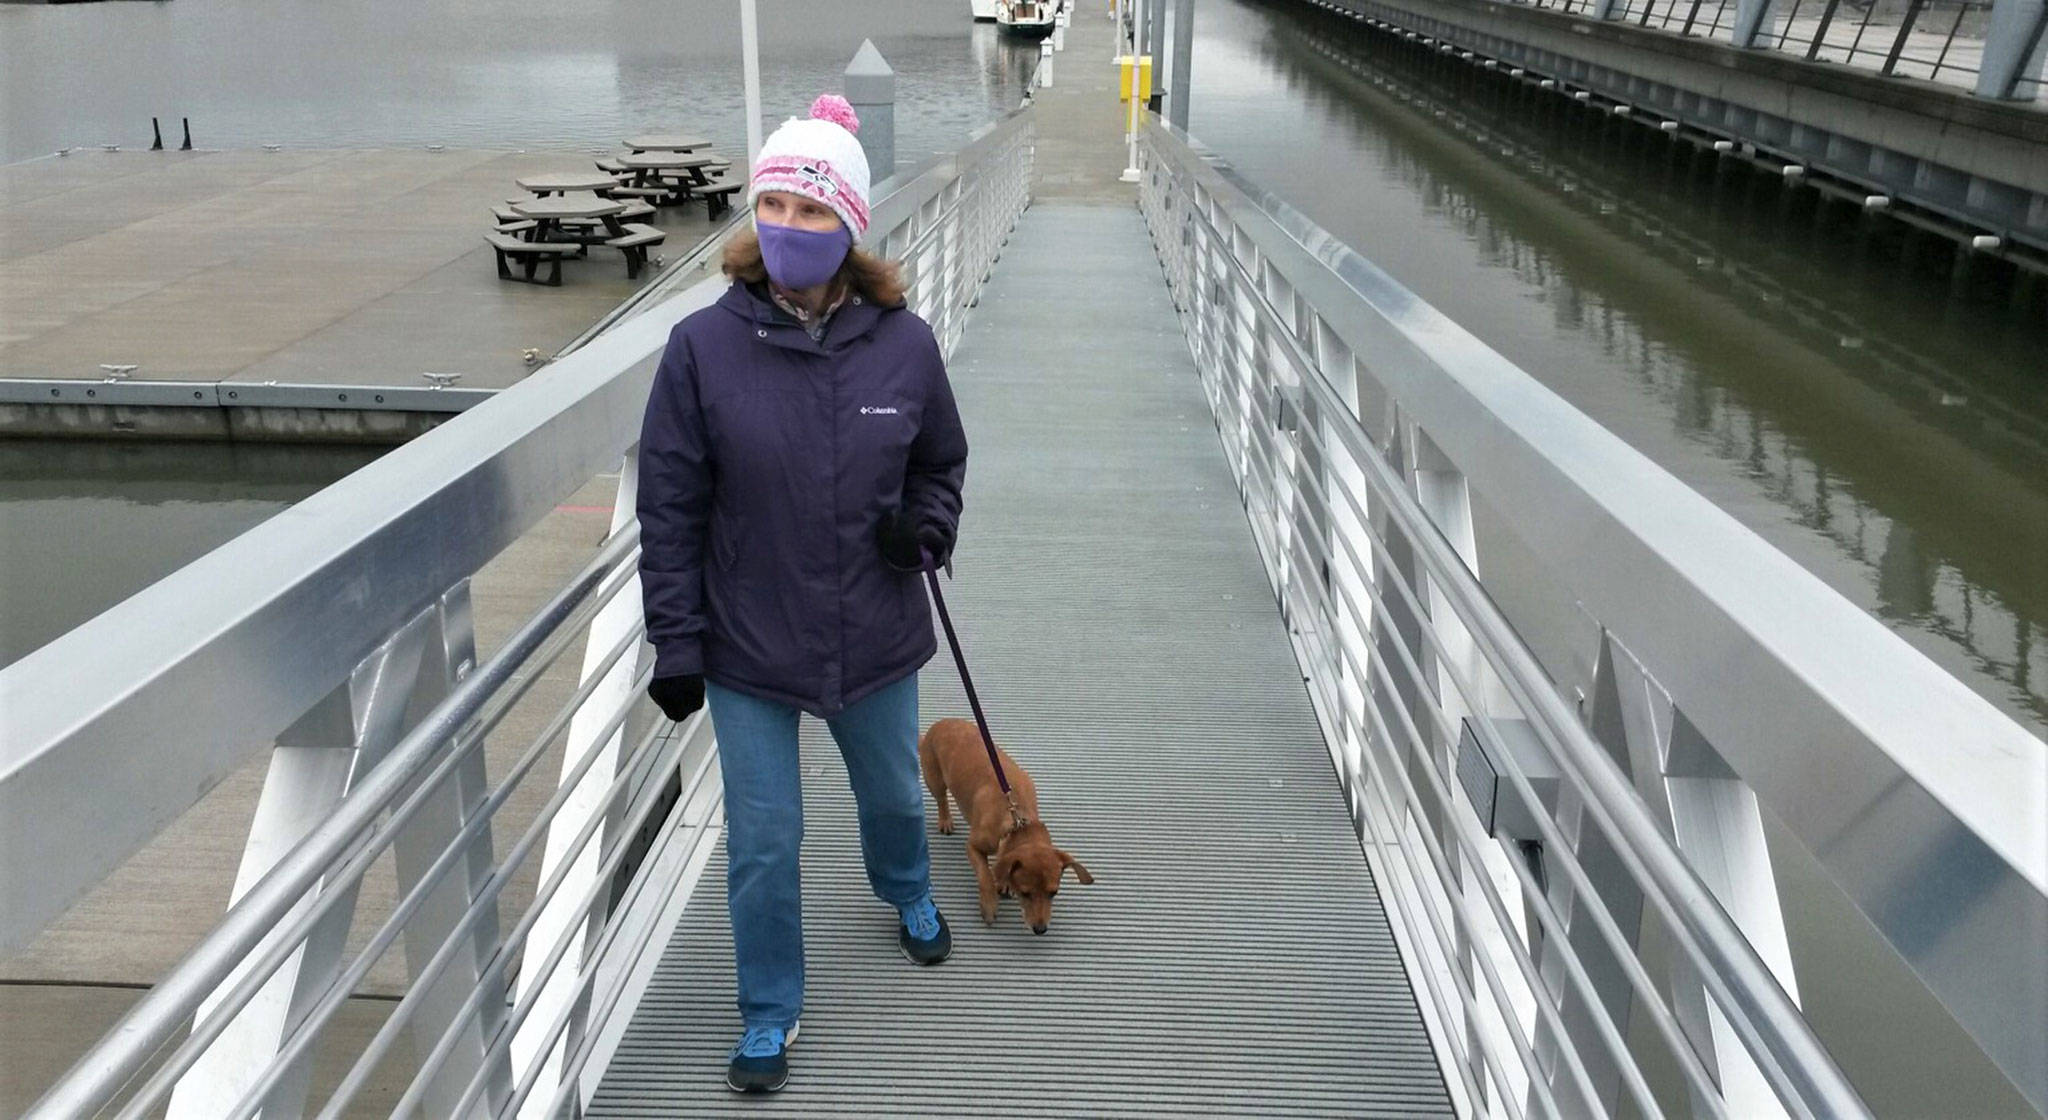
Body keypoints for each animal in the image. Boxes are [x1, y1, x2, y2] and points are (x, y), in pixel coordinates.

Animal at [921, 720, 1097, 937]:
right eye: (1025, 893)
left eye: (1054, 892)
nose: (1040, 930)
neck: (1017, 823)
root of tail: (941, 723)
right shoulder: (972, 847)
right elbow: (986, 875)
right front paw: (989, 905)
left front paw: (1004, 883)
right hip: (934, 779)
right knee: (941, 798)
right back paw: (945, 819)